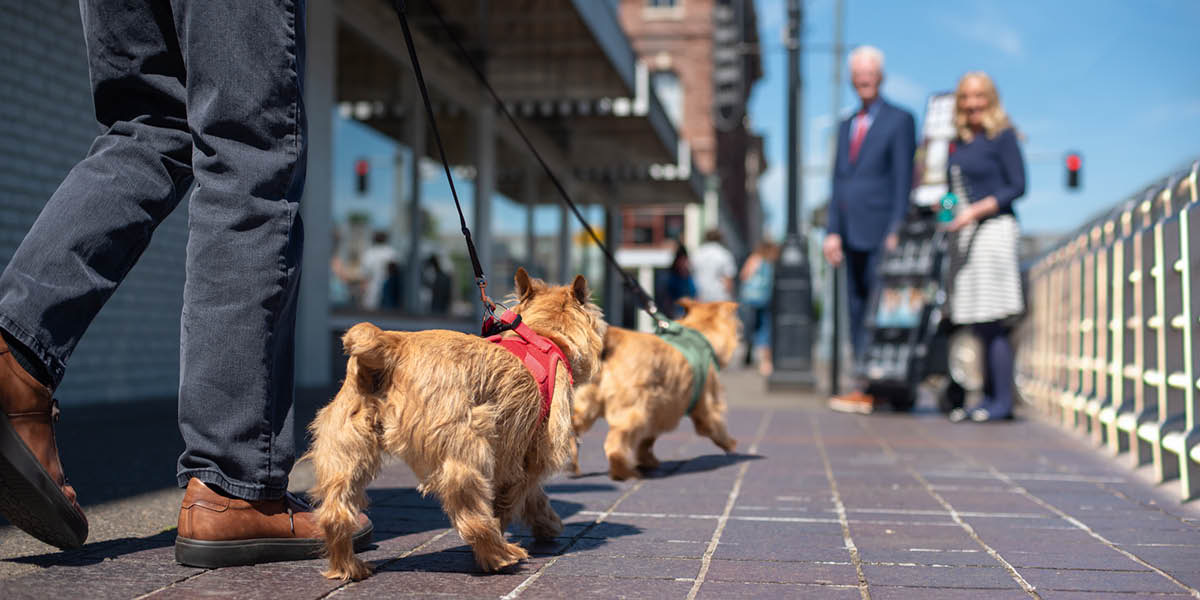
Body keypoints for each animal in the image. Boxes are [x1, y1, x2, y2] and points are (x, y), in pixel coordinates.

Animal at [304, 270, 604, 578]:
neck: (544, 335)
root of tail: (391, 348)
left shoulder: (517, 458)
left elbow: (532, 496)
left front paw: (548, 524)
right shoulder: (531, 456)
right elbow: (514, 499)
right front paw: (528, 526)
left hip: (347, 448)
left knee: (336, 510)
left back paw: (349, 566)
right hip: (466, 447)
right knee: (470, 510)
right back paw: (499, 554)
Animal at [571, 300, 739, 482]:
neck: (697, 332)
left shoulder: (657, 412)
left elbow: (647, 441)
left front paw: (648, 460)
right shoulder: (706, 405)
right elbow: (717, 425)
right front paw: (730, 444)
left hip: (585, 404)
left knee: (572, 428)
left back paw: (573, 464)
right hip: (632, 412)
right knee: (614, 444)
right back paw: (624, 472)